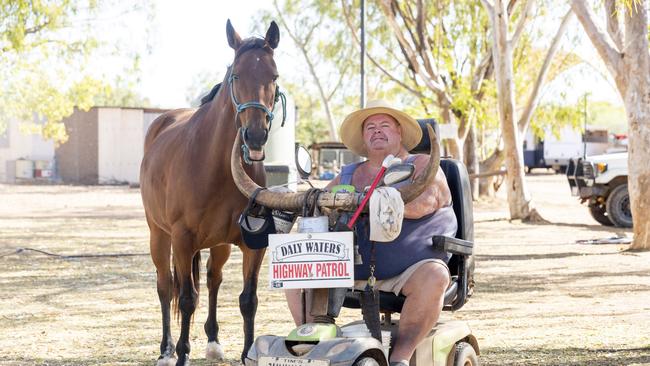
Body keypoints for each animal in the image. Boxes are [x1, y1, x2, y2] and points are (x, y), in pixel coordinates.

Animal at [139, 20, 280, 366]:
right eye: (236, 76)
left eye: (274, 76)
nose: (255, 135)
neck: (215, 166)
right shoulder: (182, 239)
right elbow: (186, 298)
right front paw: (181, 354)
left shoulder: (252, 244)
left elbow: (248, 299)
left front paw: (246, 353)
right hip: (159, 235)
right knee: (166, 286)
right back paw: (166, 349)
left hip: (219, 245)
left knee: (214, 278)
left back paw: (213, 341)